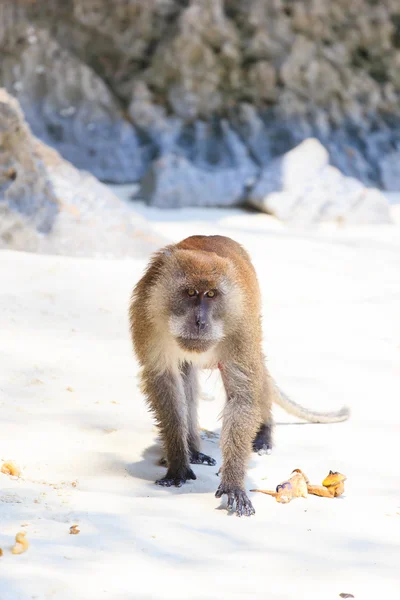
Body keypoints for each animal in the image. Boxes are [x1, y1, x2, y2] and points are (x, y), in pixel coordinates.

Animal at [130, 234, 348, 516]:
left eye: (211, 294)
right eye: (190, 293)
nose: (200, 322)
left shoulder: (241, 324)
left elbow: (242, 394)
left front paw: (233, 482)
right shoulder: (147, 315)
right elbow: (163, 380)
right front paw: (178, 464)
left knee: (255, 374)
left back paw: (263, 432)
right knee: (186, 377)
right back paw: (193, 450)